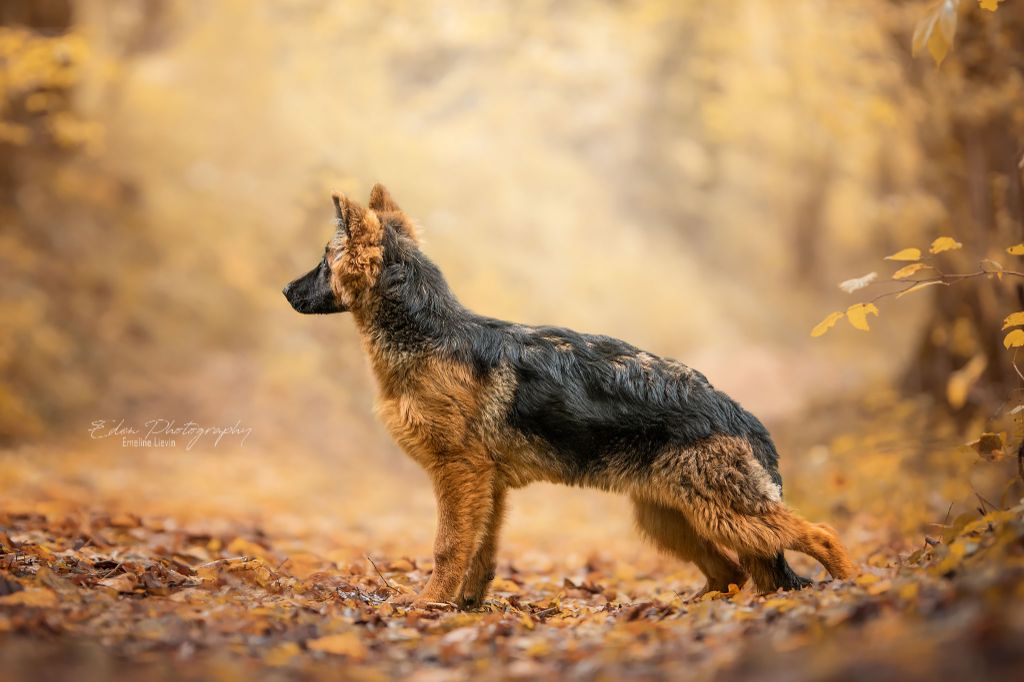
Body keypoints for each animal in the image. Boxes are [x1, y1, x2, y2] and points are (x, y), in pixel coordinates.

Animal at [282, 186, 856, 606]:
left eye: (323, 261)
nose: (285, 291)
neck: (428, 334)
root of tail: (739, 413)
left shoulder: (460, 474)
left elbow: (448, 547)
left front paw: (428, 605)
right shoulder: (488, 487)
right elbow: (481, 554)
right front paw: (466, 606)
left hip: (725, 513)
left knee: (820, 534)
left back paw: (855, 588)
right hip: (672, 520)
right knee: (733, 572)